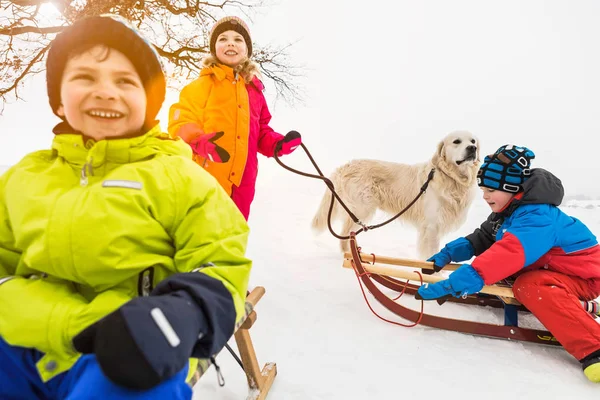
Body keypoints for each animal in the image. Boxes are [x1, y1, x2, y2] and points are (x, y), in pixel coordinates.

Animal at [312, 130, 480, 258]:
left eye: (473, 141)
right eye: (457, 141)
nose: (472, 148)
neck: (452, 179)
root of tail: (344, 167)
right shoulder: (431, 226)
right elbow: (430, 253)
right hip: (361, 208)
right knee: (345, 236)